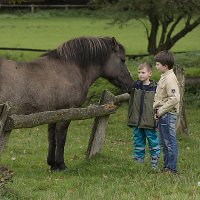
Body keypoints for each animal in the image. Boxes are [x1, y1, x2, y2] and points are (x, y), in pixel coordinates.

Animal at [0, 36, 134, 170]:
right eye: (122, 60)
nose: (130, 84)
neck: (68, 70)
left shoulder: (53, 114)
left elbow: (52, 138)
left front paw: (52, 164)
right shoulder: (66, 113)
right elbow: (61, 137)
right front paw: (61, 165)